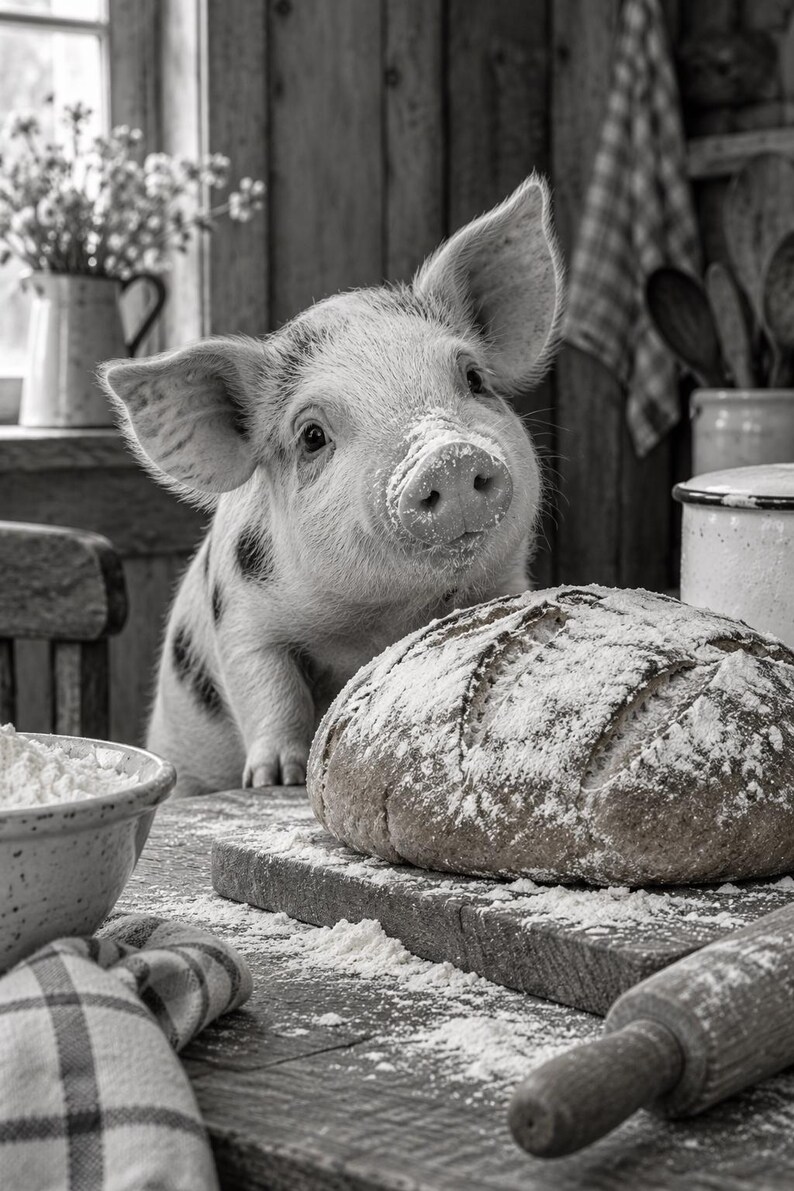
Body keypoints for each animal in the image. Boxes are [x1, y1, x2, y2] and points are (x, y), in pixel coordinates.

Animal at [100, 175, 564, 798]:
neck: (375, 622)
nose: (446, 456)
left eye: (473, 378)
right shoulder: (240, 618)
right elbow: (270, 689)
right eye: (312, 435)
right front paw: (274, 780)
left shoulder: (506, 581)